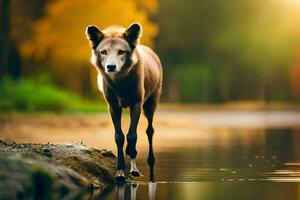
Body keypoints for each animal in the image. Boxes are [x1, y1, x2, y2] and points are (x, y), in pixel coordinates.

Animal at [85, 22, 163, 181]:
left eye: (121, 52)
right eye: (103, 52)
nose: (111, 66)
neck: (120, 84)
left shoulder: (136, 104)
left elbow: (132, 136)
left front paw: (133, 168)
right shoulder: (113, 107)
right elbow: (119, 137)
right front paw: (120, 171)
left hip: (151, 104)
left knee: (150, 131)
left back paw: (149, 162)